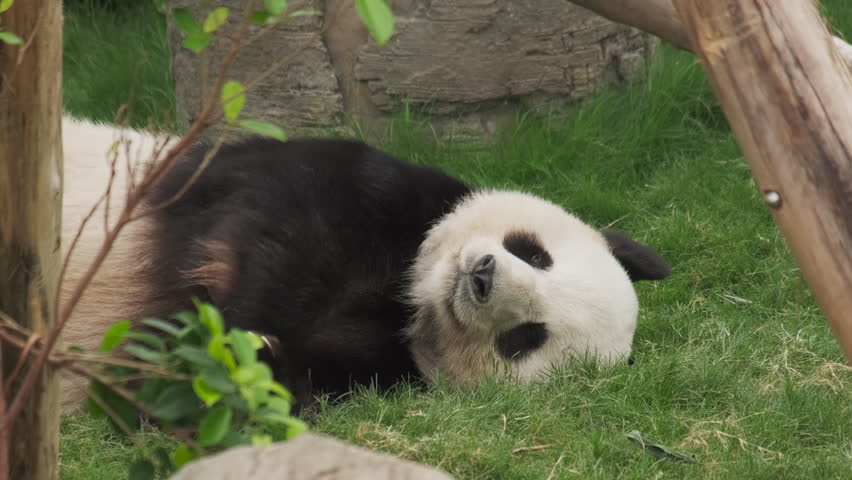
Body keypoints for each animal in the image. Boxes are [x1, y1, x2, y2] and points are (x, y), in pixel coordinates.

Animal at [59, 116, 671, 414]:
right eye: (535, 253)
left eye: (525, 338)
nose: (481, 278)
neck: (407, 298)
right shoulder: (357, 185)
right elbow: (280, 226)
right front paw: (235, 330)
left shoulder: (376, 366)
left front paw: (227, 362)